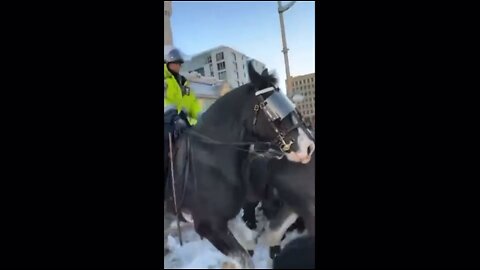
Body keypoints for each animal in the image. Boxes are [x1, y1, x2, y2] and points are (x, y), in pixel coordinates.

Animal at [165, 61, 316, 268]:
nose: (309, 147)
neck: (210, 161)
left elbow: (251, 241)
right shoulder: (208, 225)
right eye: (273, 110)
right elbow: (245, 257)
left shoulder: (229, 217)